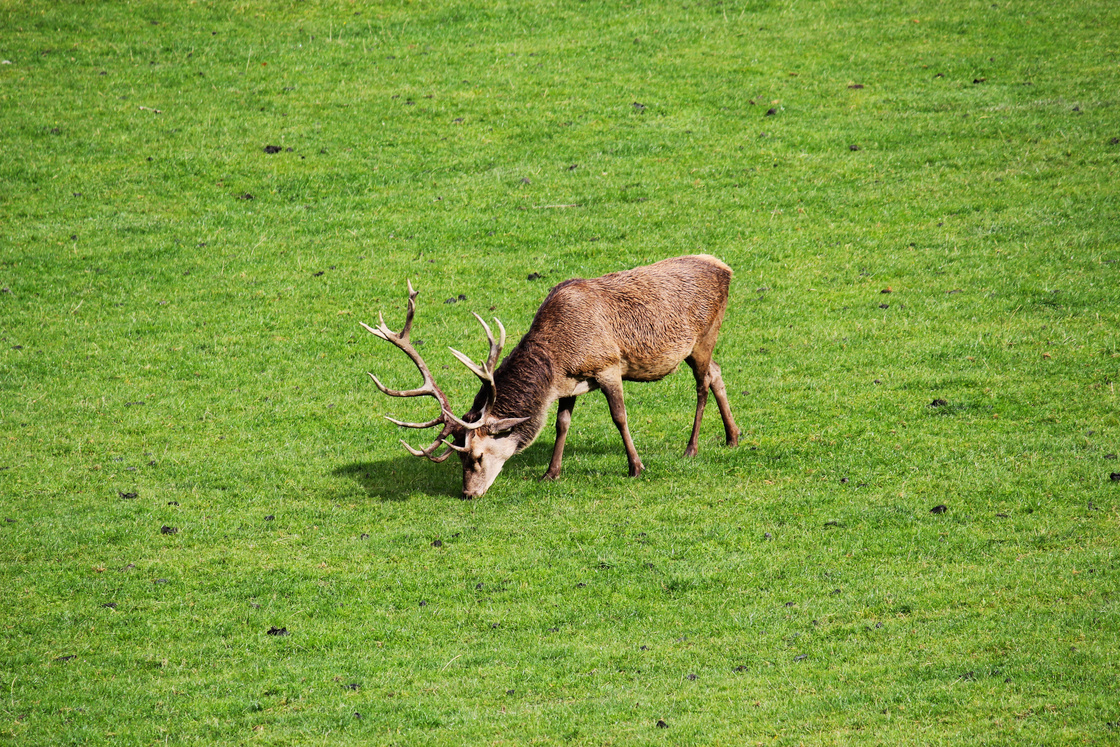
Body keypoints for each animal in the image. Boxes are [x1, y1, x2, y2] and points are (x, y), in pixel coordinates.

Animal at [362, 254, 739, 499]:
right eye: (457, 456)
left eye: (476, 456)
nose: (468, 494)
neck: (559, 355)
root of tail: (726, 268)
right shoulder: (569, 384)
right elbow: (561, 424)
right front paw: (550, 473)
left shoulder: (609, 366)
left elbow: (619, 417)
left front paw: (636, 467)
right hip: (699, 347)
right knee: (717, 372)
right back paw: (733, 437)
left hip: (704, 336)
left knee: (702, 384)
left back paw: (691, 448)